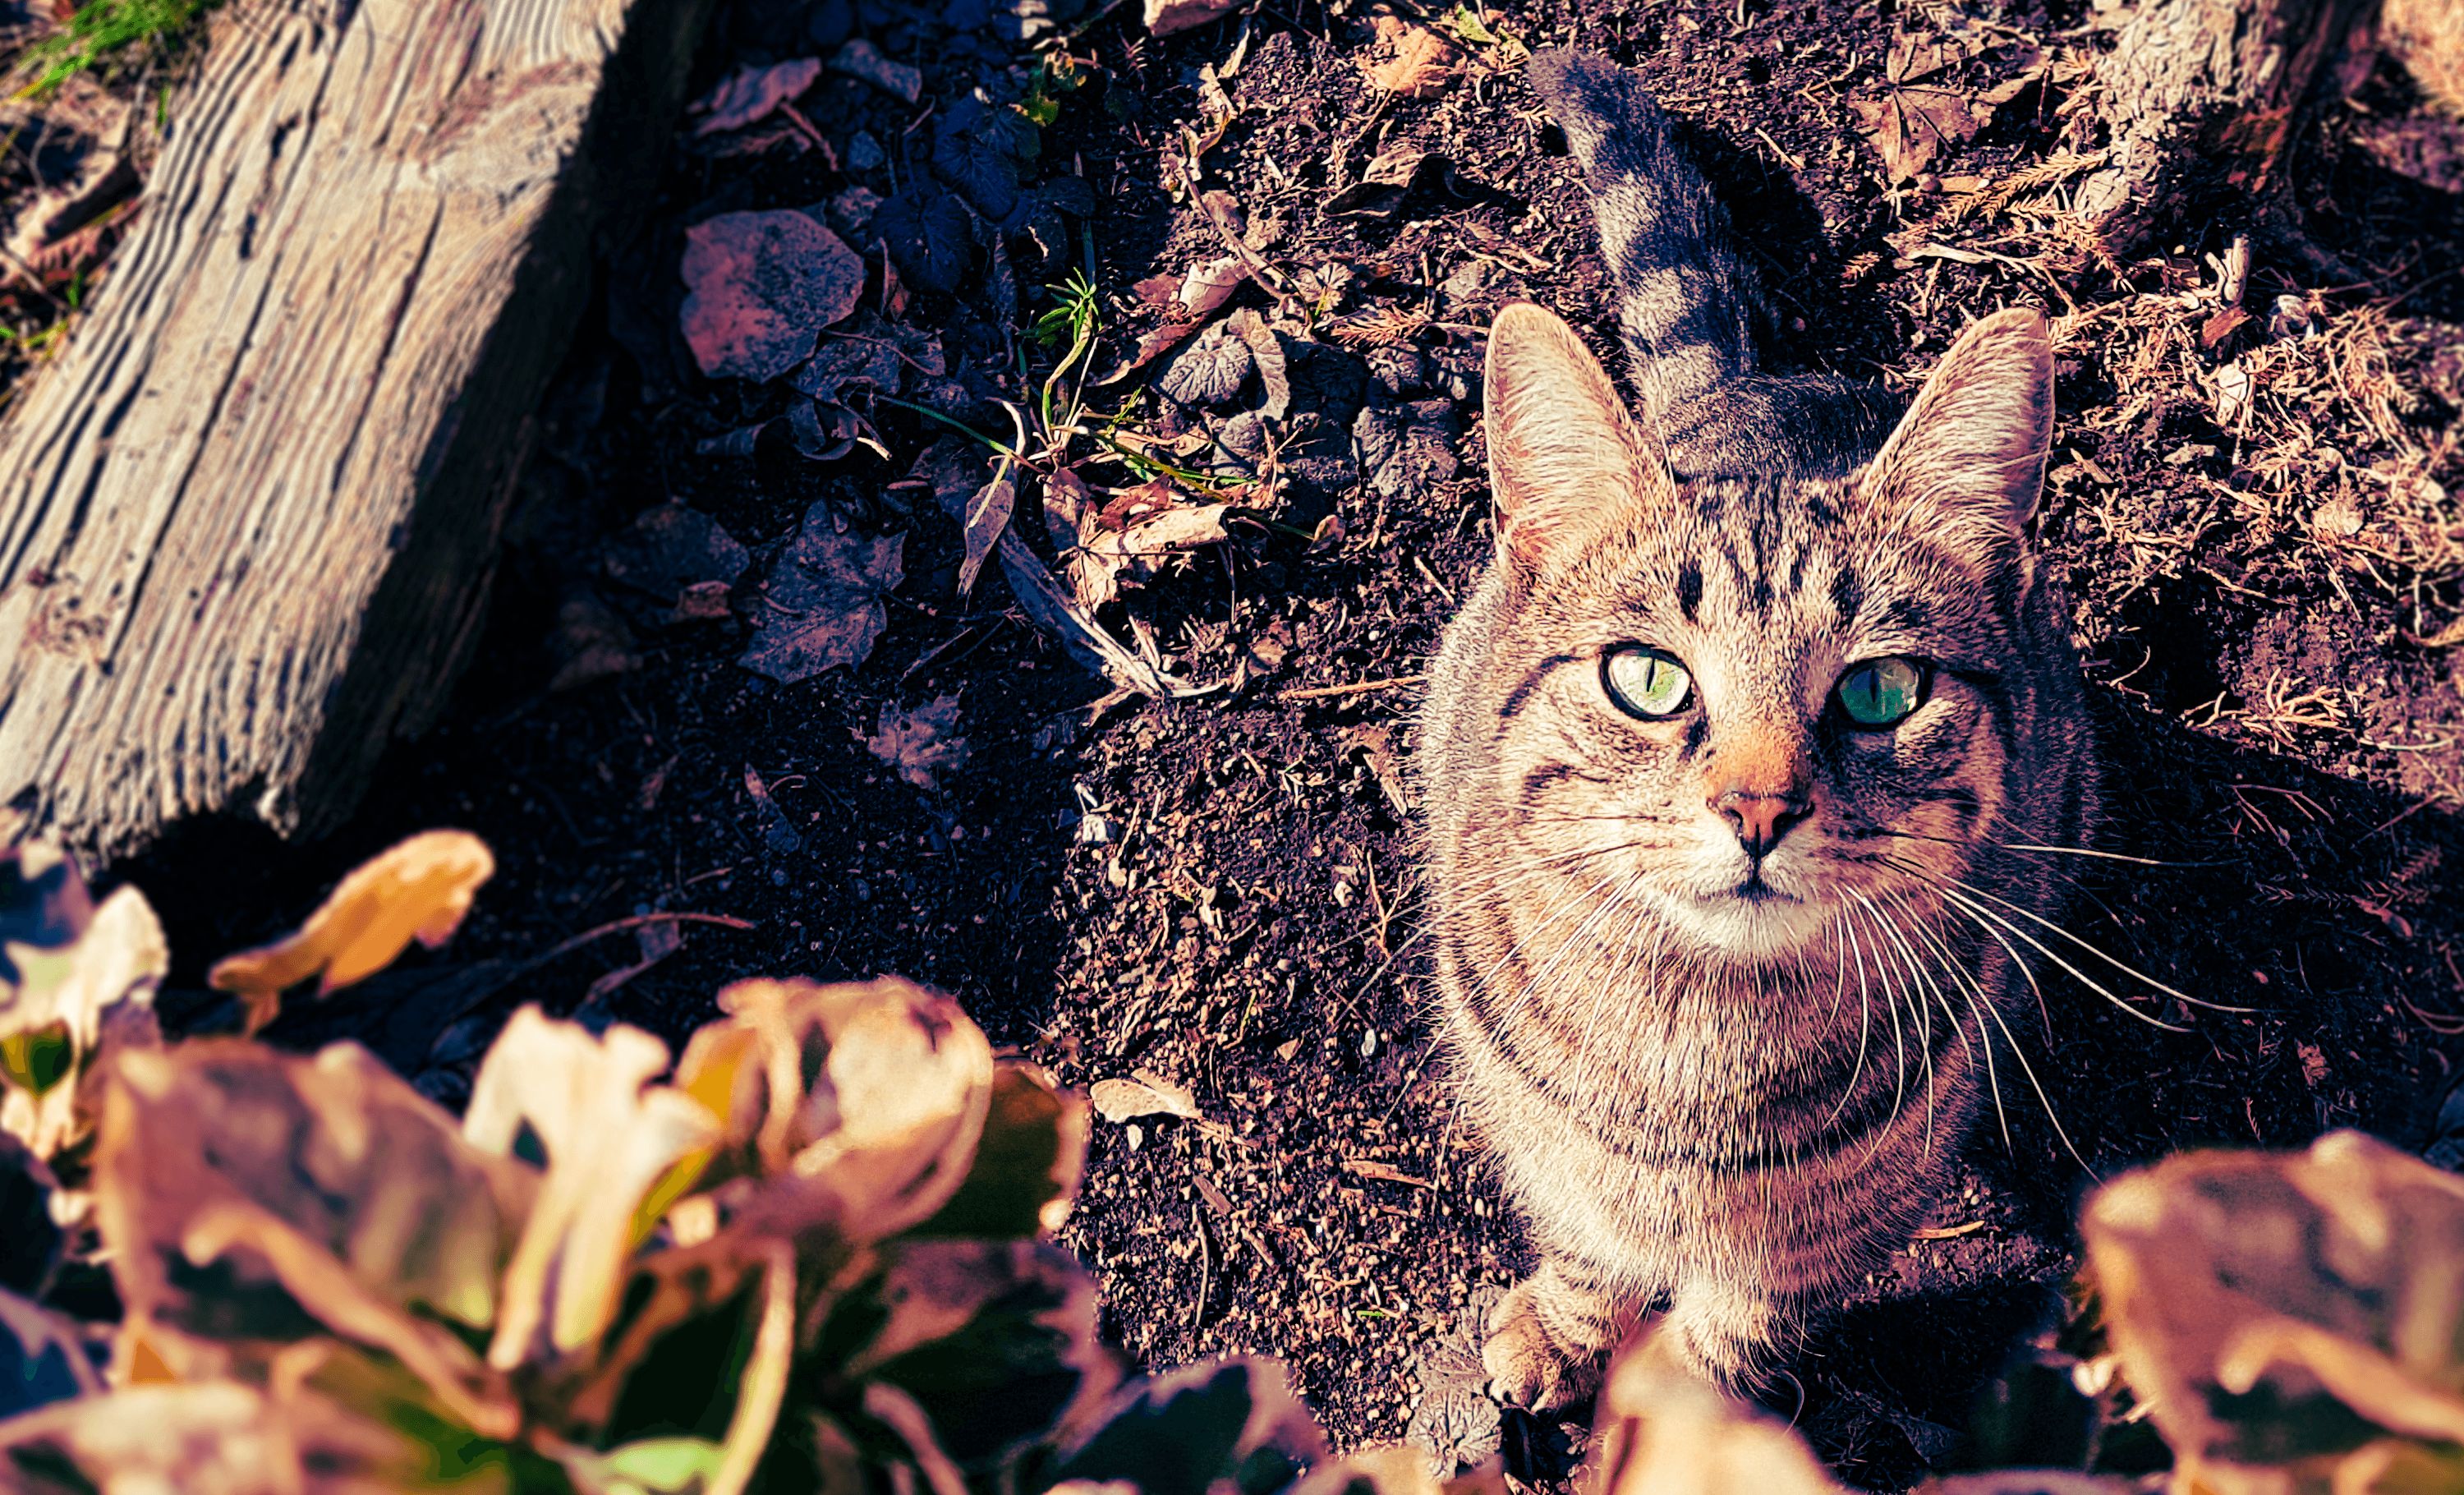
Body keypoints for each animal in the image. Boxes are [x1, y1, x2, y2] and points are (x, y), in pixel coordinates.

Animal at [1429, 49, 2099, 1399]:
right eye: (1648, 679)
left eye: (1882, 692)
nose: (1756, 808)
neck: (1692, 1048)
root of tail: (1750, 381)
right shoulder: (1550, 1146)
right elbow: (1585, 1246)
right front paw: (1562, 1330)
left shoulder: (1828, 1230)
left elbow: (1732, 1335)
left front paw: (1680, 1417)